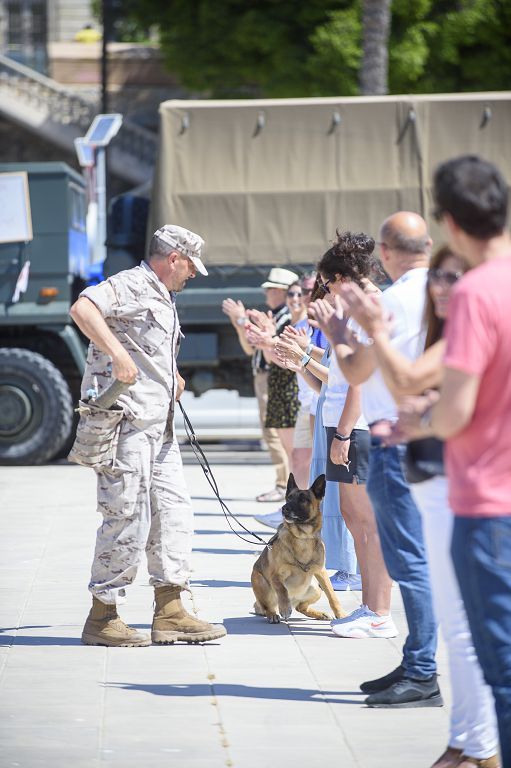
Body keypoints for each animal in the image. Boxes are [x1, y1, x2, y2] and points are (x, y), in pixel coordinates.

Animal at [251, 474, 344, 624]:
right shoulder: (275, 575)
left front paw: (341, 614)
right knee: (268, 607)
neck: (303, 537)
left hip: (316, 589)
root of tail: (294, 599)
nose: (284, 508)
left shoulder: (321, 573)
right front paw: (284, 608)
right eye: (289, 497)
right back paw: (273, 614)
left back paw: (319, 613)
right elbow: (282, 589)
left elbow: (332, 595)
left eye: (303, 499)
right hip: (261, 582)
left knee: (301, 607)